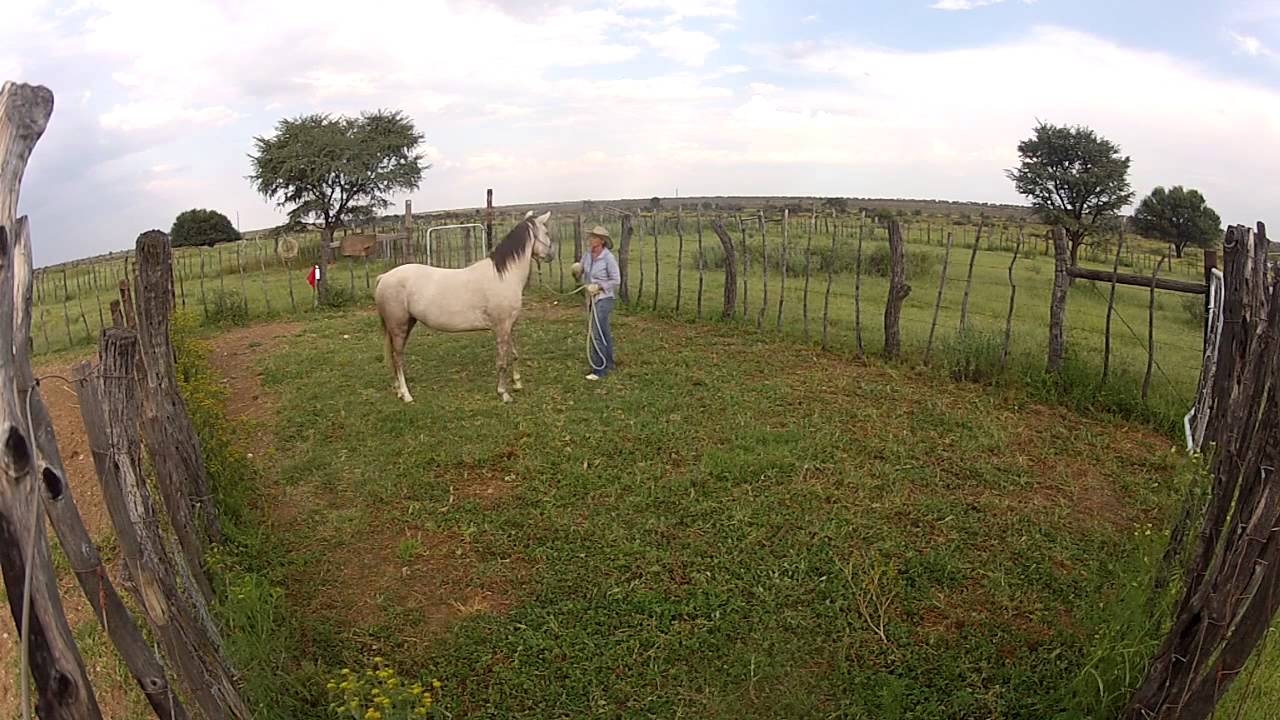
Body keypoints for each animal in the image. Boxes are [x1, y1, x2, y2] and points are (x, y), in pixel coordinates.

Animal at [374, 210, 556, 404]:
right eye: (546, 232)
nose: (551, 254)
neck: (504, 276)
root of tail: (384, 277)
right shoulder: (501, 327)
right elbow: (502, 361)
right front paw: (504, 393)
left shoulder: (509, 326)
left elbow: (514, 353)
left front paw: (517, 384)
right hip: (399, 326)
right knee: (398, 357)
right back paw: (406, 394)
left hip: (407, 324)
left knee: (394, 356)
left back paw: (399, 391)